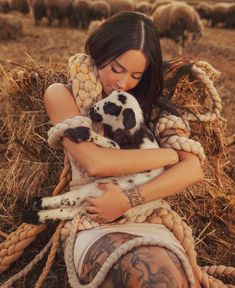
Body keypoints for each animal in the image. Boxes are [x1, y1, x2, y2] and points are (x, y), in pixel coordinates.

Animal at [23, 91, 164, 224]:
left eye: (112, 106)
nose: (92, 108)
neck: (135, 133)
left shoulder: (123, 156)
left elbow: (109, 142)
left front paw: (78, 133)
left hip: (96, 188)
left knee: (71, 200)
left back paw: (38, 204)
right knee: (69, 210)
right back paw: (33, 214)